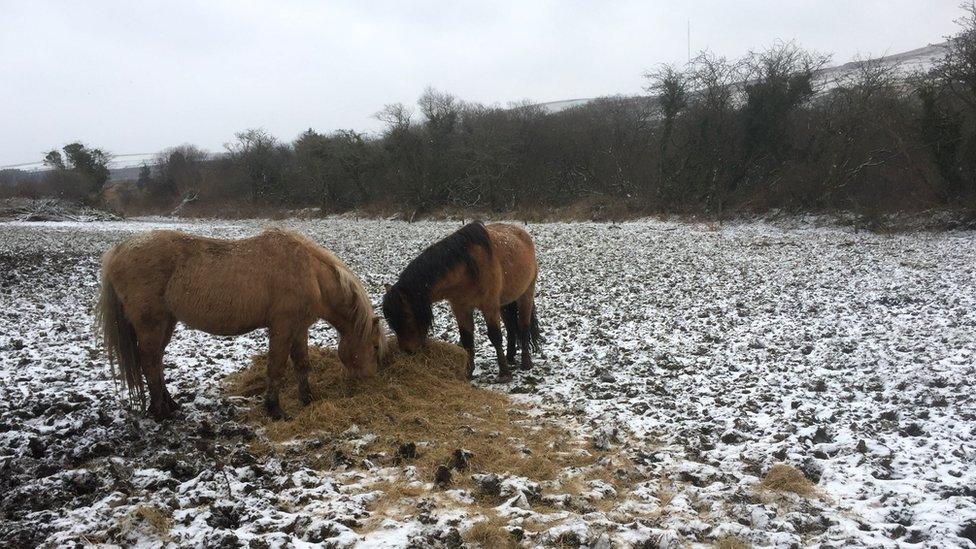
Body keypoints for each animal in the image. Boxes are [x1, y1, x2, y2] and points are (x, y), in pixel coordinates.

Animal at [95, 227, 386, 420]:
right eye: (373, 347)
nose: (371, 379)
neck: (310, 273)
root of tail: (118, 251)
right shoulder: (282, 327)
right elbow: (276, 367)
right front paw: (275, 410)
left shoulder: (299, 328)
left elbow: (302, 365)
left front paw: (308, 399)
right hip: (151, 325)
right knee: (150, 362)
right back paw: (162, 412)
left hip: (166, 323)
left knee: (154, 362)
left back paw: (170, 404)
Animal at [382, 220, 540, 378]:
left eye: (407, 316)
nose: (407, 351)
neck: (467, 269)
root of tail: (522, 233)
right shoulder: (461, 308)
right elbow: (467, 339)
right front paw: (468, 373)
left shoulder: (489, 306)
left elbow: (495, 336)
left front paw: (504, 374)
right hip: (504, 303)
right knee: (511, 327)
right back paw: (510, 357)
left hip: (525, 294)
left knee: (524, 326)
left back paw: (526, 363)